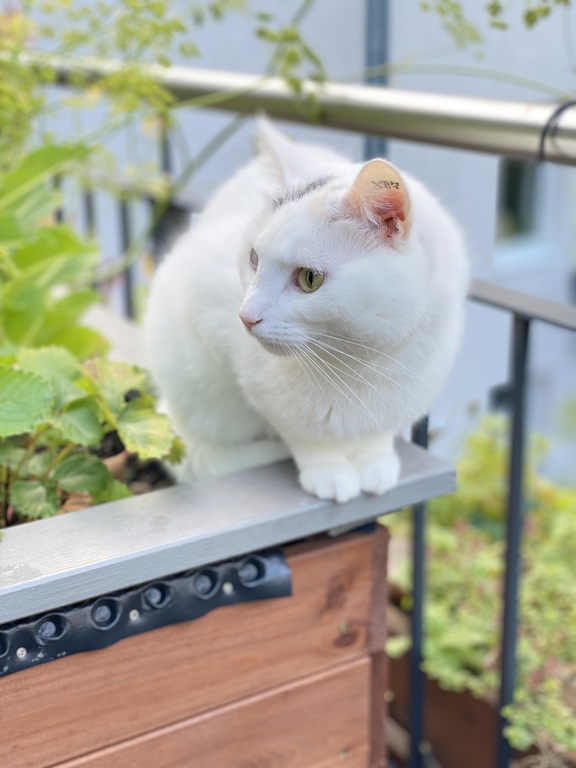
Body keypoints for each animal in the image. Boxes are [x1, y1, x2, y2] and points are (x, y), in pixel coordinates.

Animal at [143, 118, 469, 503]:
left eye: (310, 278)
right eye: (254, 259)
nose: (245, 316)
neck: (361, 364)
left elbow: (377, 430)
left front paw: (374, 459)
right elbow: (303, 432)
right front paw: (327, 468)